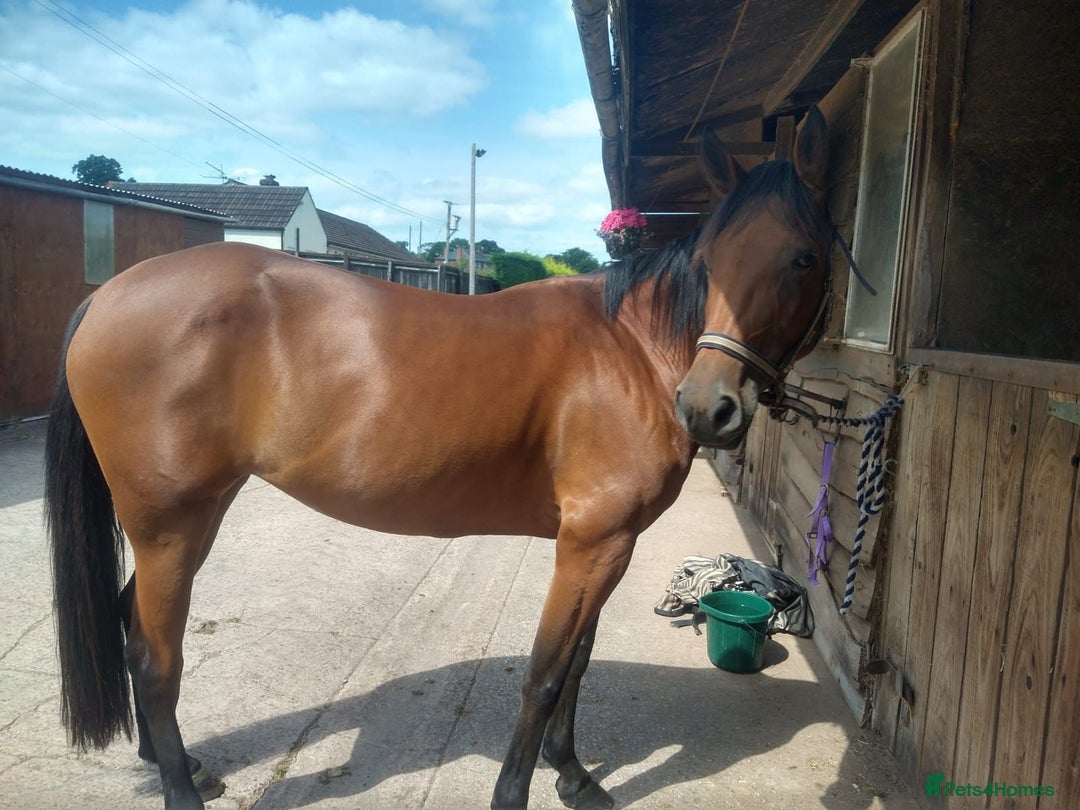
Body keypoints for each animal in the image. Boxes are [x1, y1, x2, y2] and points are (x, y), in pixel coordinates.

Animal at [44, 106, 833, 810]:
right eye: (709, 264)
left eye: (802, 257)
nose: (707, 407)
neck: (631, 351)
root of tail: (107, 296)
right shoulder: (591, 543)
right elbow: (546, 674)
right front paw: (518, 792)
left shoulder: (611, 543)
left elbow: (577, 665)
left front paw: (574, 777)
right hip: (170, 523)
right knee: (156, 660)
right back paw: (181, 788)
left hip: (190, 519)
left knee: (131, 623)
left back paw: (179, 765)